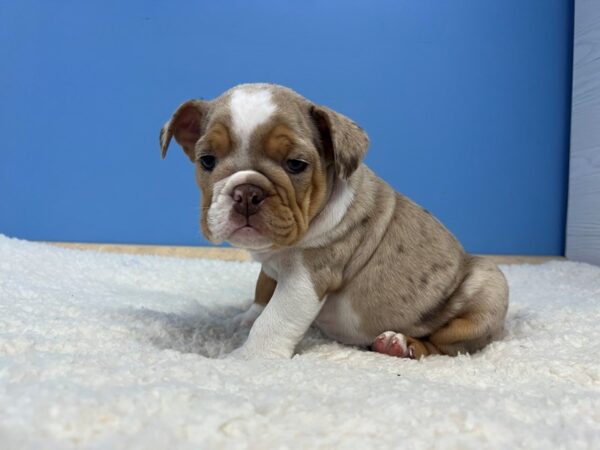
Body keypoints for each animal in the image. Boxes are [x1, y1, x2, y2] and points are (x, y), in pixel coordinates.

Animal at [162, 83, 508, 358]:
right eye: (207, 161)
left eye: (296, 164)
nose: (247, 192)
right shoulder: (272, 266)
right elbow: (263, 289)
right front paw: (243, 319)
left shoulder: (307, 278)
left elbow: (274, 318)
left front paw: (249, 358)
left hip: (487, 288)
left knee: (442, 346)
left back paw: (400, 344)